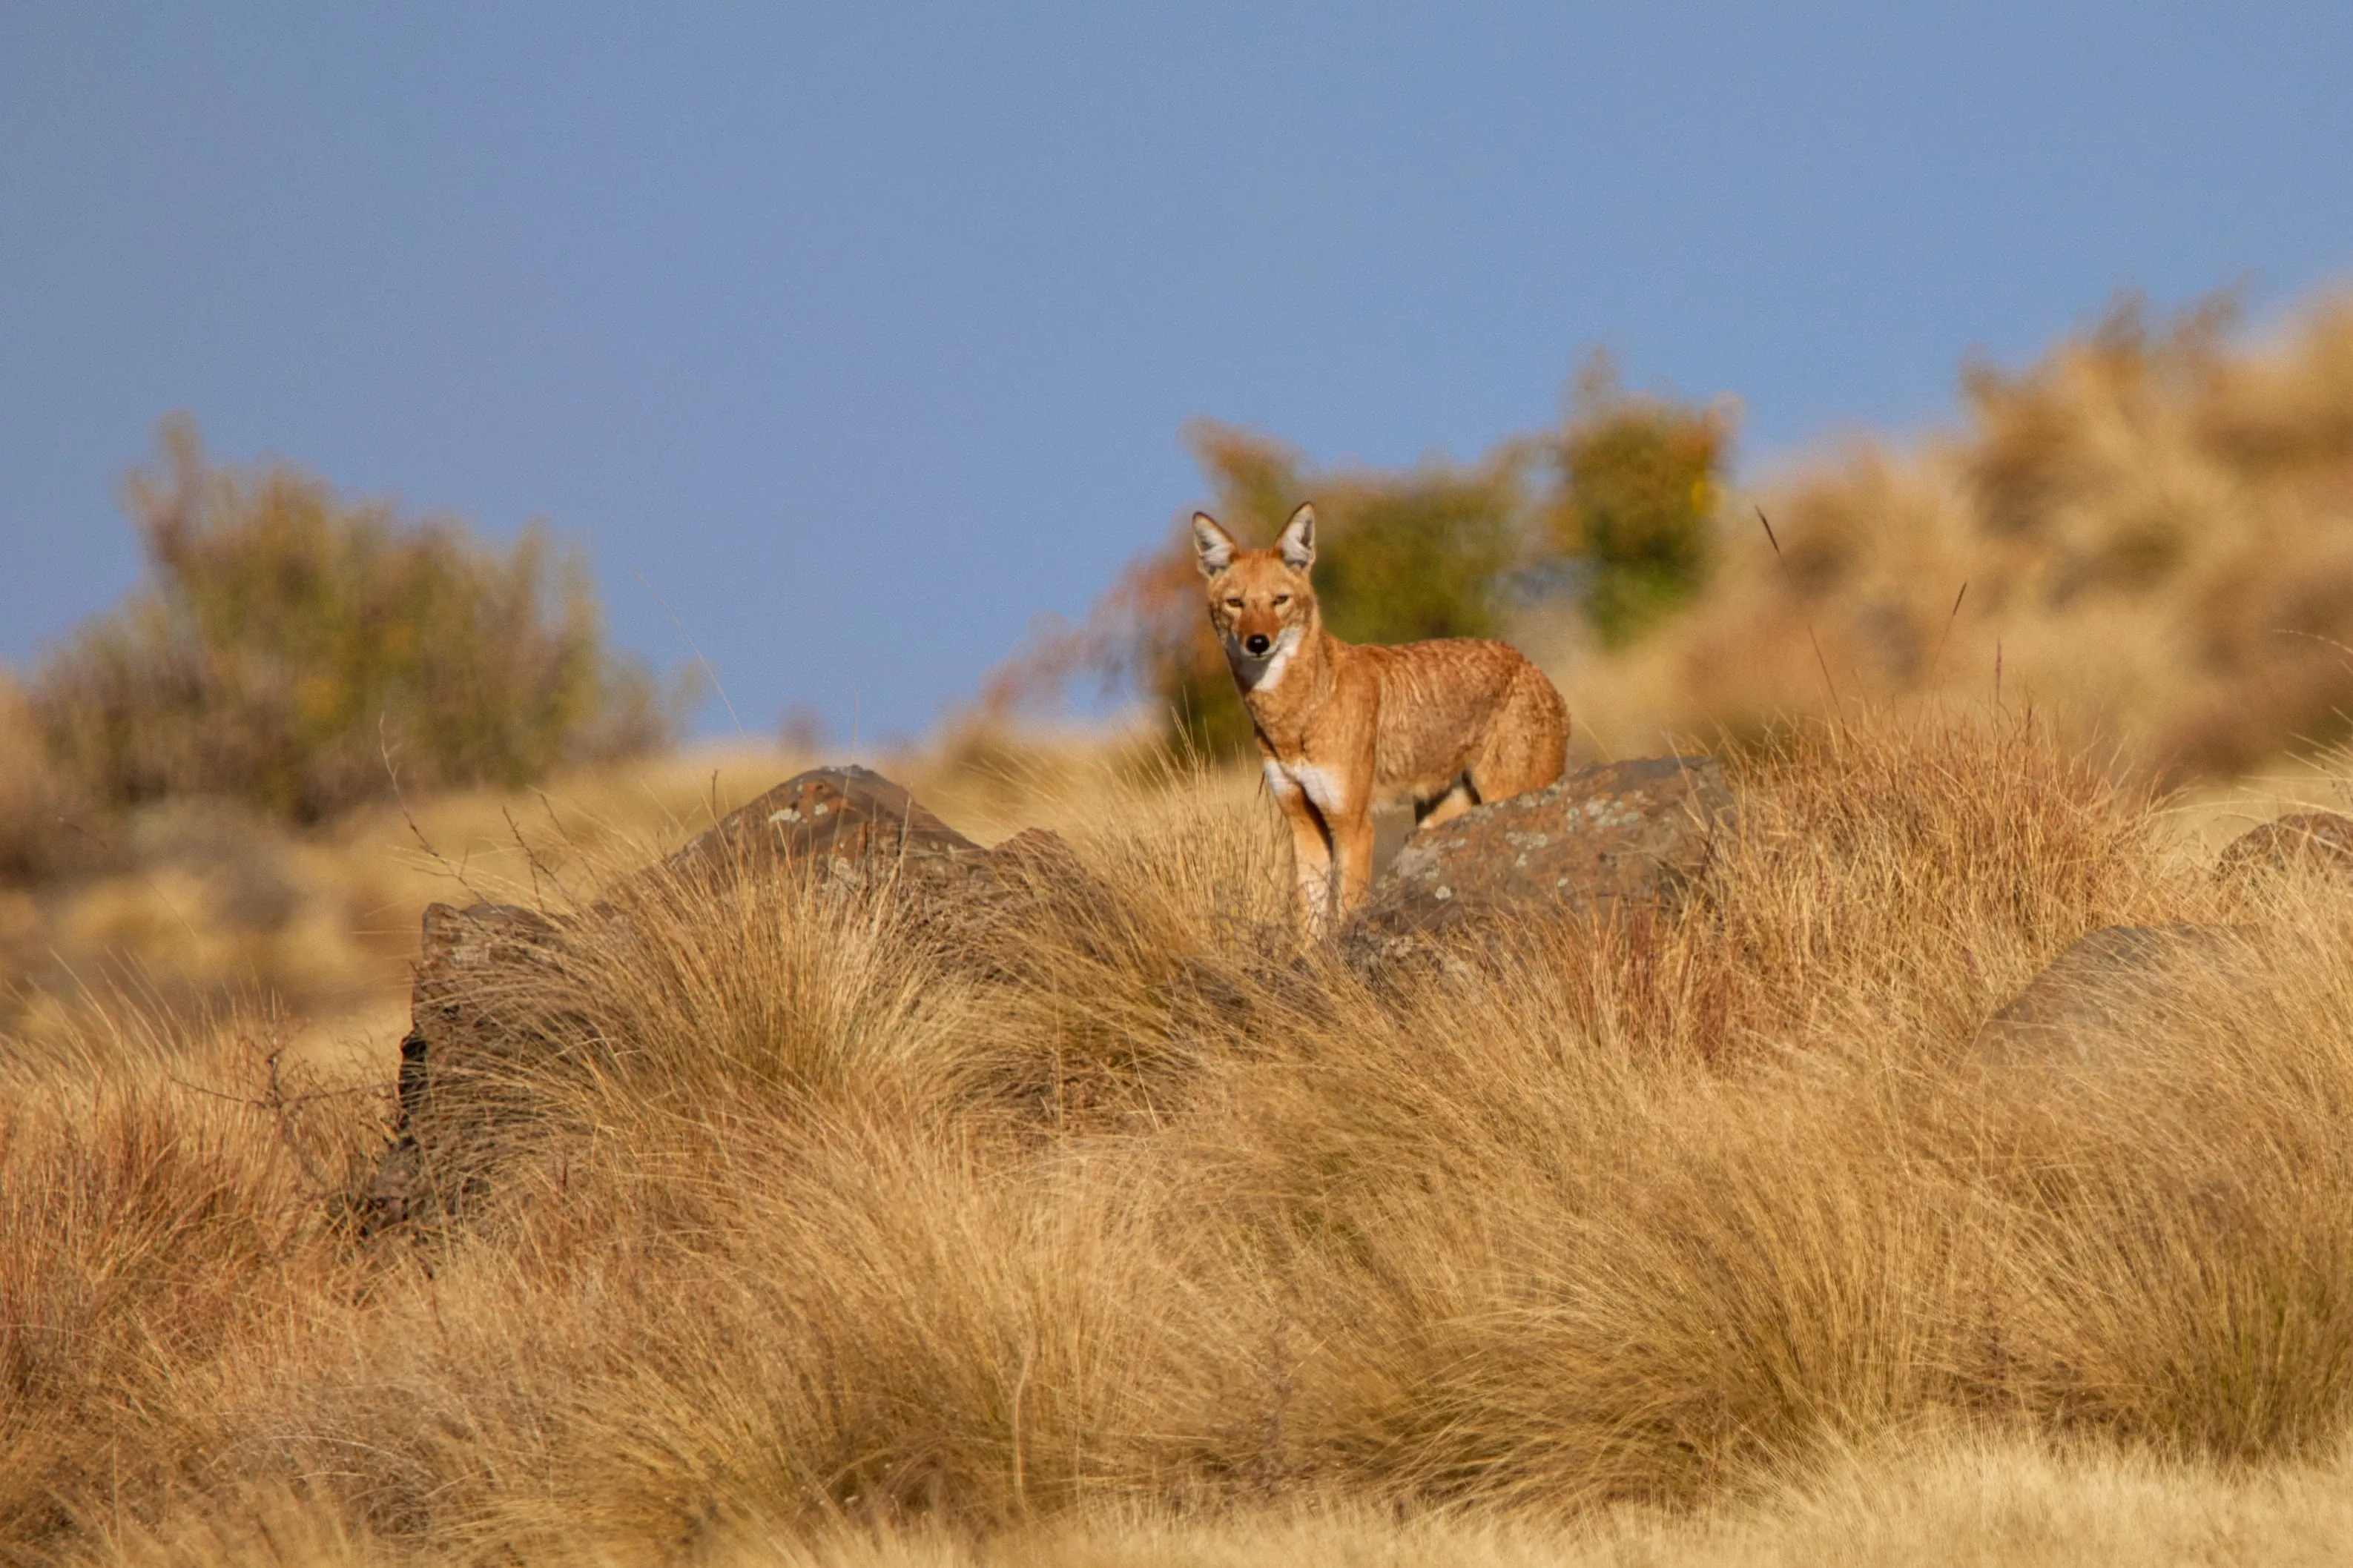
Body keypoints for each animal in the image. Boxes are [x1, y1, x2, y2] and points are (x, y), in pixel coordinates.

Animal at [1193, 502, 1569, 934]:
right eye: (1236, 604)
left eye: (1280, 600)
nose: (1258, 643)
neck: (1296, 718)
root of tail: (1535, 670)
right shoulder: (1303, 825)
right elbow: (1309, 924)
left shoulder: (1354, 825)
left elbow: (1347, 911)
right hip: (1436, 821)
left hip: (1505, 796)